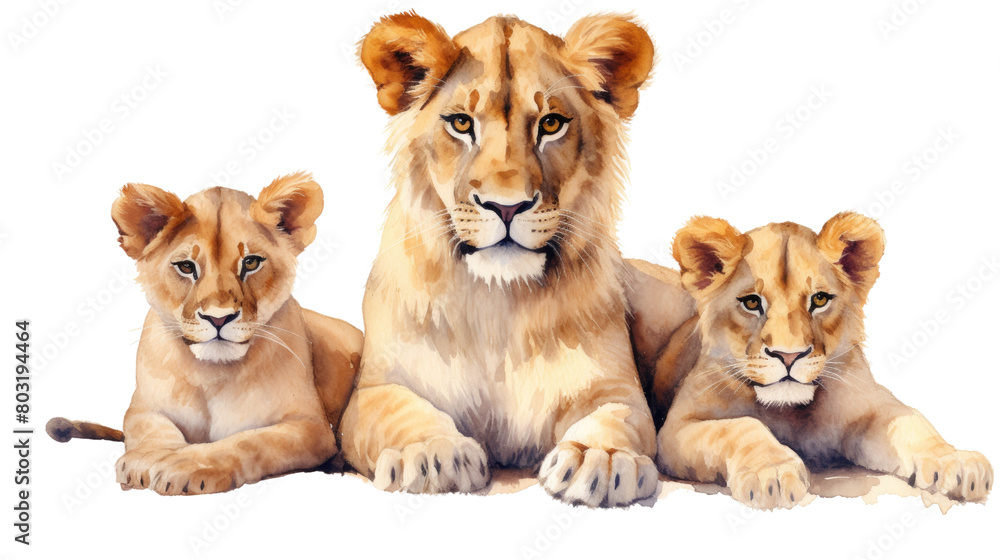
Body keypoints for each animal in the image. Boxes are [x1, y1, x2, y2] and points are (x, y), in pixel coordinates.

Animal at [46, 172, 363, 495]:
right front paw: (144, 459)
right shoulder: (142, 409)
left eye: (251, 262)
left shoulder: (311, 427)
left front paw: (189, 465)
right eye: (186, 266)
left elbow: (250, 441)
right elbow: (151, 430)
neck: (212, 375)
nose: (218, 317)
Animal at [338, 12, 696, 507]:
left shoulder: (616, 387)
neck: (499, 307)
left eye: (551, 124)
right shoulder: (373, 389)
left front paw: (598, 459)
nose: (506, 207)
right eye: (461, 123)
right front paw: (432, 452)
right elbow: (399, 409)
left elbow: (617, 417)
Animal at [647, 212, 993, 509]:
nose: (788, 356)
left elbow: (911, 422)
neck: (789, 412)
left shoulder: (870, 409)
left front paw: (956, 461)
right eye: (751, 303)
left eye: (820, 299)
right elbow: (740, 426)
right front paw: (773, 471)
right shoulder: (675, 429)